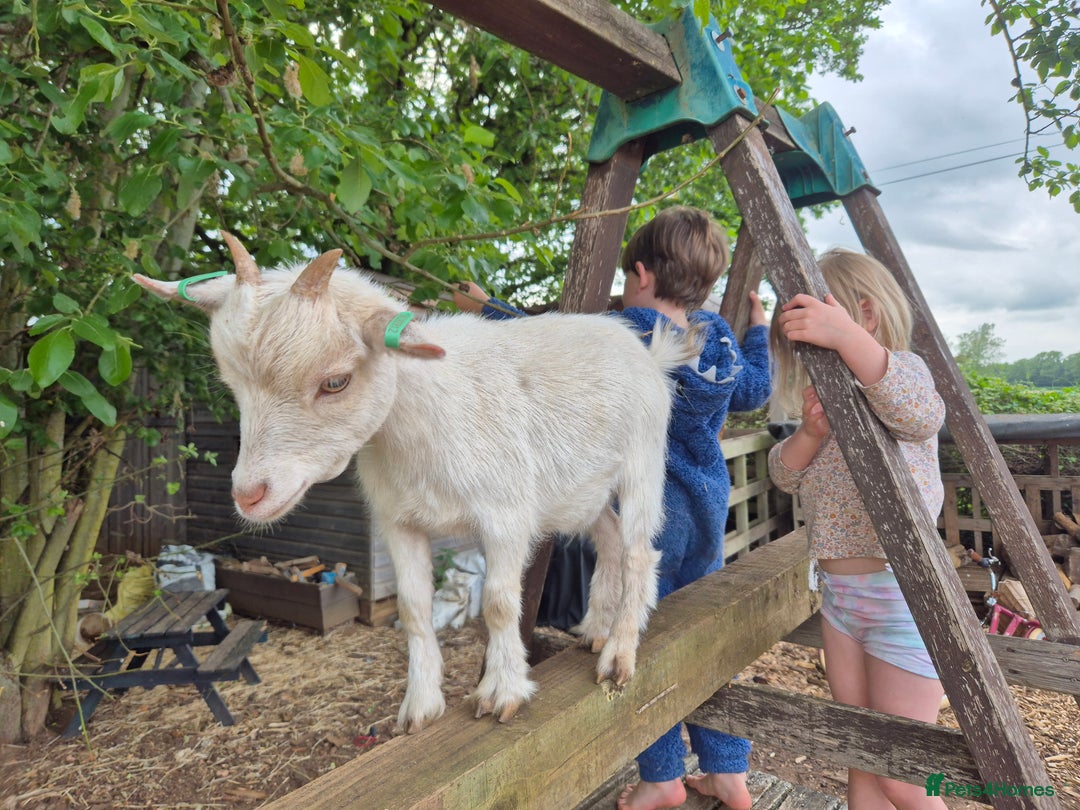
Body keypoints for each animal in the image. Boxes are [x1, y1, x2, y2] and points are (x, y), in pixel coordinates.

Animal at [135, 234, 696, 733]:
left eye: (335, 381)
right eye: (232, 385)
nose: (249, 495)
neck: (425, 419)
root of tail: (644, 352)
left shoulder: (506, 514)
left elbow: (498, 603)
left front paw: (502, 692)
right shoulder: (398, 521)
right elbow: (412, 608)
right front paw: (420, 705)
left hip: (643, 461)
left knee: (639, 551)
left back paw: (619, 655)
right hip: (582, 491)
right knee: (610, 540)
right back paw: (597, 630)